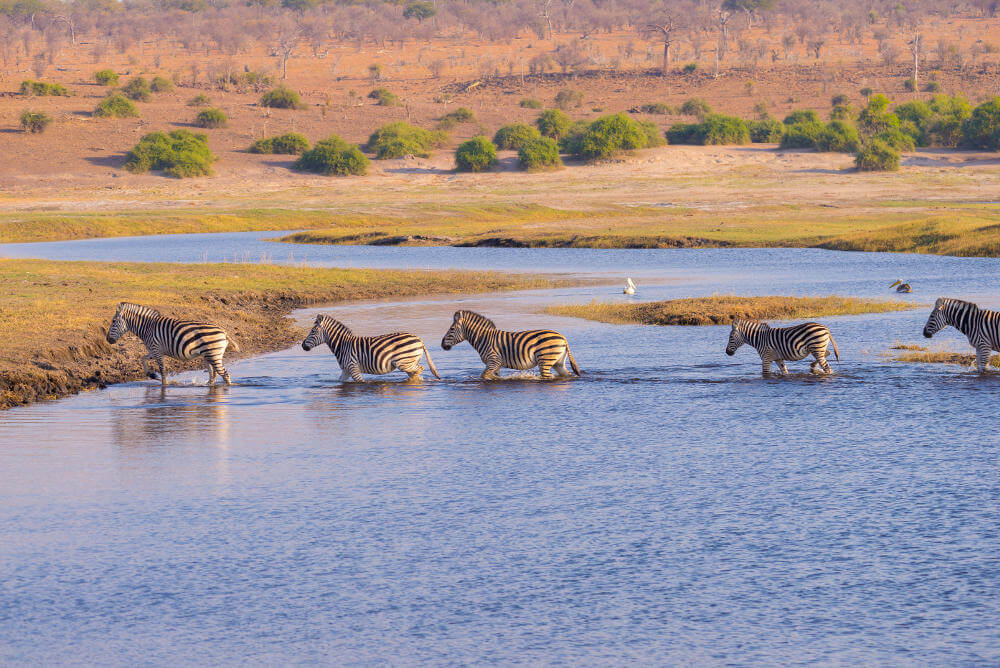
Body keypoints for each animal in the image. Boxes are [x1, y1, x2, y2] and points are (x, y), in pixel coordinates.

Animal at [106, 302, 239, 386]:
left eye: (113, 321)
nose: (107, 340)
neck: (147, 327)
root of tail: (224, 331)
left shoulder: (157, 349)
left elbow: (162, 369)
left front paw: (164, 384)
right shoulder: (154, 350)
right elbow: (143, 359)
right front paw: (151, 375)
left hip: (213, 354)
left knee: (225, 374)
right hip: (209, 355)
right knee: (214, 373)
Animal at [296, 314, 438, 380]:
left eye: (313, 331)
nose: (302, 346)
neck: (342, 345)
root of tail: (419, 339)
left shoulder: (353, 367)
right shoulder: (346, 370)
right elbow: (339, 381)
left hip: (404, 362)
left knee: (420, 370)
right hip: (409, 362)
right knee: (416, 373)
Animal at [444, 310, 584, 378]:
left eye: (451, 329)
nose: (442, 345)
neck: (483, 338)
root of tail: (563, 338)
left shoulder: (493, 360)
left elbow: (484, 375)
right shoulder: (496, 365)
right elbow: (493, 376)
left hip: (545, 359)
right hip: (558, 362)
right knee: (567, 374)